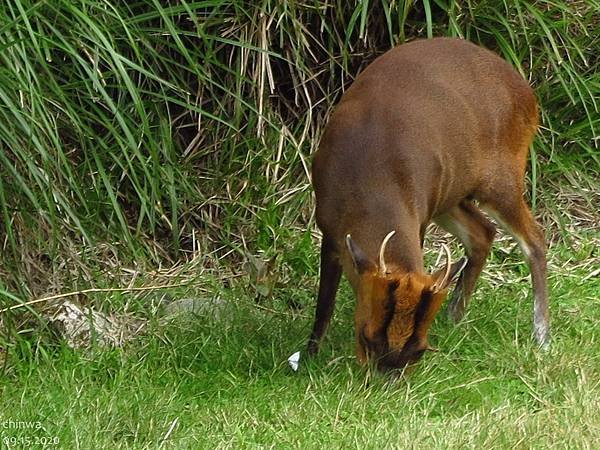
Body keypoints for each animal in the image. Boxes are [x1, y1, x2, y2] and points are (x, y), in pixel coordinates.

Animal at [310, 37, 548, 370]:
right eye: (367, 338)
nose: (389, 373)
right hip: (451, 194)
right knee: (483, 232)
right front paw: (309, 354)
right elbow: (324, 304)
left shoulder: (418, 212)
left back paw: (541, 335)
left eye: (420, 350)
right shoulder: (329, 228)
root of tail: (528, 92)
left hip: (501, 176)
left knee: (535, 238)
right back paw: (455, 316)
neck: (371, 181)